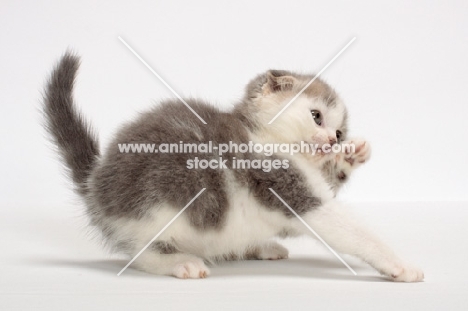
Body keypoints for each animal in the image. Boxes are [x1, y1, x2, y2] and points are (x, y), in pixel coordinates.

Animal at [43, 52, 424, 282]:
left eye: (339, 130)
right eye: (316, 115)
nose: (333, 140)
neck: (268, 137)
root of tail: (95, 184)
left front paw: (351, 154)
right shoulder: (283, 185)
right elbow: (351, 230)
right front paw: (400, 264)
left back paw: (259, 246)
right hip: (158, 202)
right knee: (137, 252)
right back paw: (177, 261)